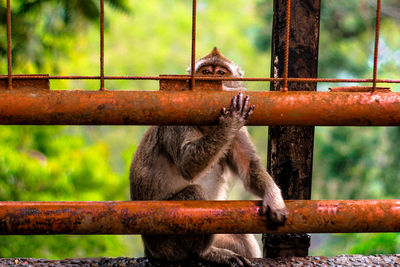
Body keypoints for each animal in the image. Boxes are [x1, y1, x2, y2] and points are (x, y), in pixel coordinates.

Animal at [130, 48, 286, 267]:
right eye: (205, 72)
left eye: (220, 73)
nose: (212, 80)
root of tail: (148, 248)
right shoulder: (177, 113)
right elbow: (187, 162)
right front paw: (230, 121)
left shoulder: (238, 133)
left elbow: (249, 168)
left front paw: (274, 198)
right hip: (165, 241)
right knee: (194, 195)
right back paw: (203, 253)